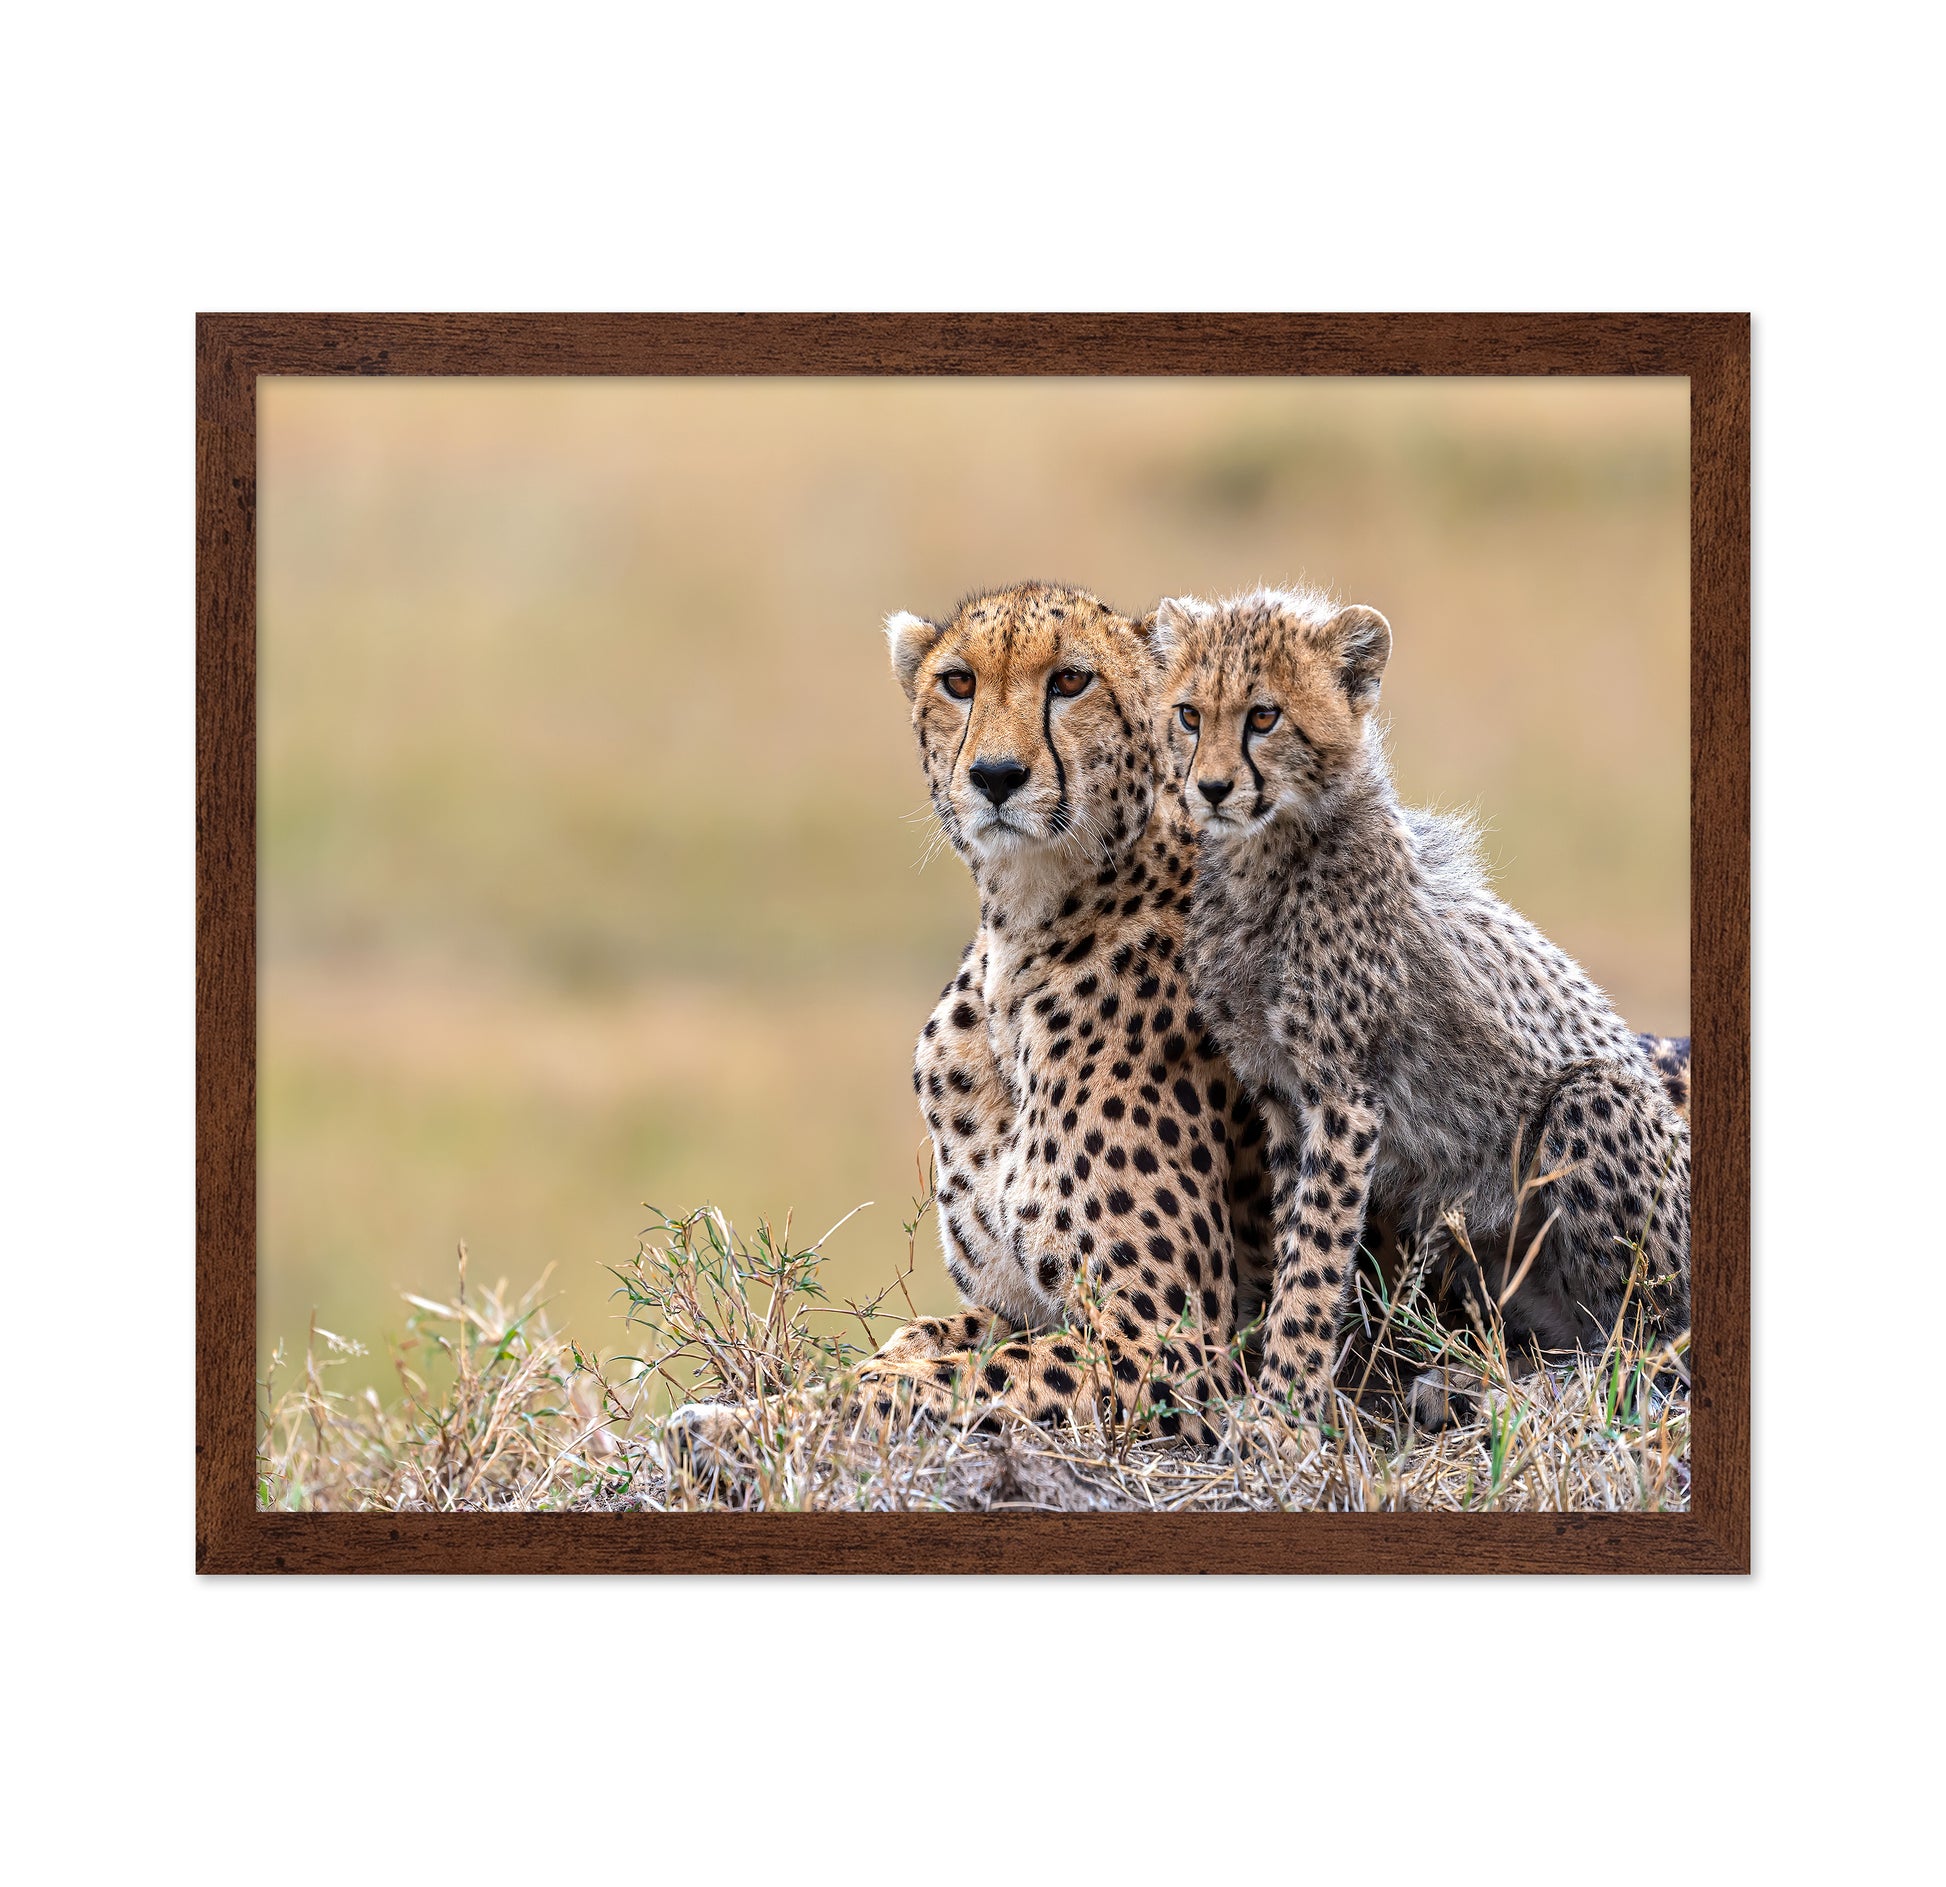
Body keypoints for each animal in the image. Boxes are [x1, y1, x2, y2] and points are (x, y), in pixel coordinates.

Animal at [1154, 585, 1691, 1427]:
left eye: (1264, 716)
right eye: (1188, 714)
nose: (1208, 789)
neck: (1264, 859)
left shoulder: (1345, 1095)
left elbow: (1315, 1257)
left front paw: (1283, 1411)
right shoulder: (1280, 1093)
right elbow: (1297, 1239)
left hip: (1596, 1104)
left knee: (1644, 1346)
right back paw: (1464, 1382)